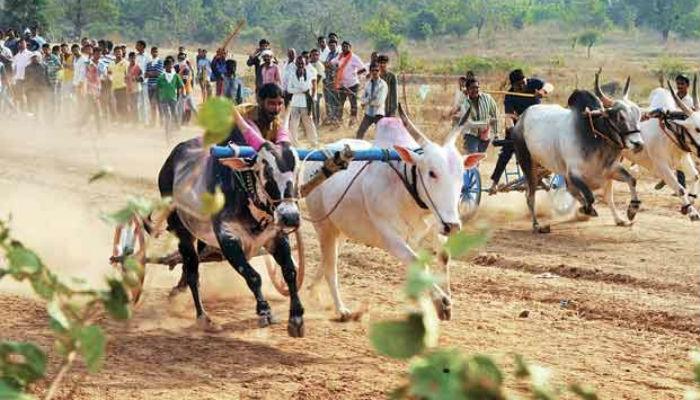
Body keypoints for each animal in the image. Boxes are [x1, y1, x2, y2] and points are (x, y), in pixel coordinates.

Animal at [304, 107, 484, 322]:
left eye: (461, 174)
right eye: (432, 173)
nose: (453, 226)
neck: (407, 190)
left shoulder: (436, 226)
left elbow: (443, 257)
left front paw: (445, 300)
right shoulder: (391, 239)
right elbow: (417, 263)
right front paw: (441, 302)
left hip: (340, 229)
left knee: (327, 260)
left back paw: (312, 291)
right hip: (323, 226)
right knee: (331, 267)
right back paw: (341, 309)